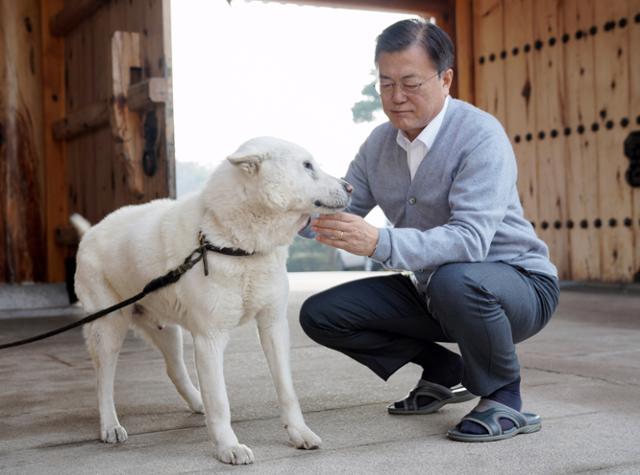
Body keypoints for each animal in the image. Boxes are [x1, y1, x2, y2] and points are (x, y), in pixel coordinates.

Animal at [72, 137, 352, 464]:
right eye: (307, 166)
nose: (350, 187)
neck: (234, 244)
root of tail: (91, 231)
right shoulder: (210, 338)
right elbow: (220, 402)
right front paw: (228, 447)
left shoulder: (274, 326)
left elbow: (286, 390)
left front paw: (299, 433)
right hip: (108, 328)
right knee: (103, 382)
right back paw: (110, 426)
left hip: (166, 331)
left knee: (175, 371)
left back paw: (197, 403)